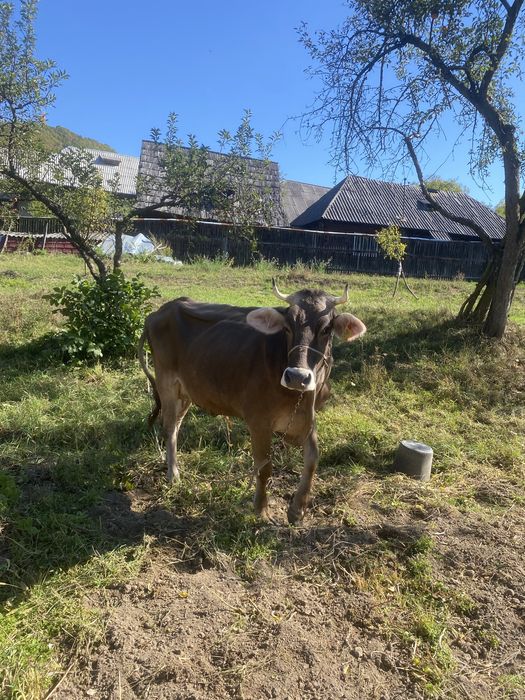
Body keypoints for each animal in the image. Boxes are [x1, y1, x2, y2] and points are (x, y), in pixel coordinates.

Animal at [138, 279, 366, 524]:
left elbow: (313, 460)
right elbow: (264, 468)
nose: (297, 376)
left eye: (326, 329)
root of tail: (160, 311)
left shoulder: (308, 418)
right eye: (287, 327)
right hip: (166, 382)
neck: (299, 397)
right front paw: (261, 510)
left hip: (187, 390)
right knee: (169, 426)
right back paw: (173, 474)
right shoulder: (259, 421)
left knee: (176, 425)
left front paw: (297, 510)